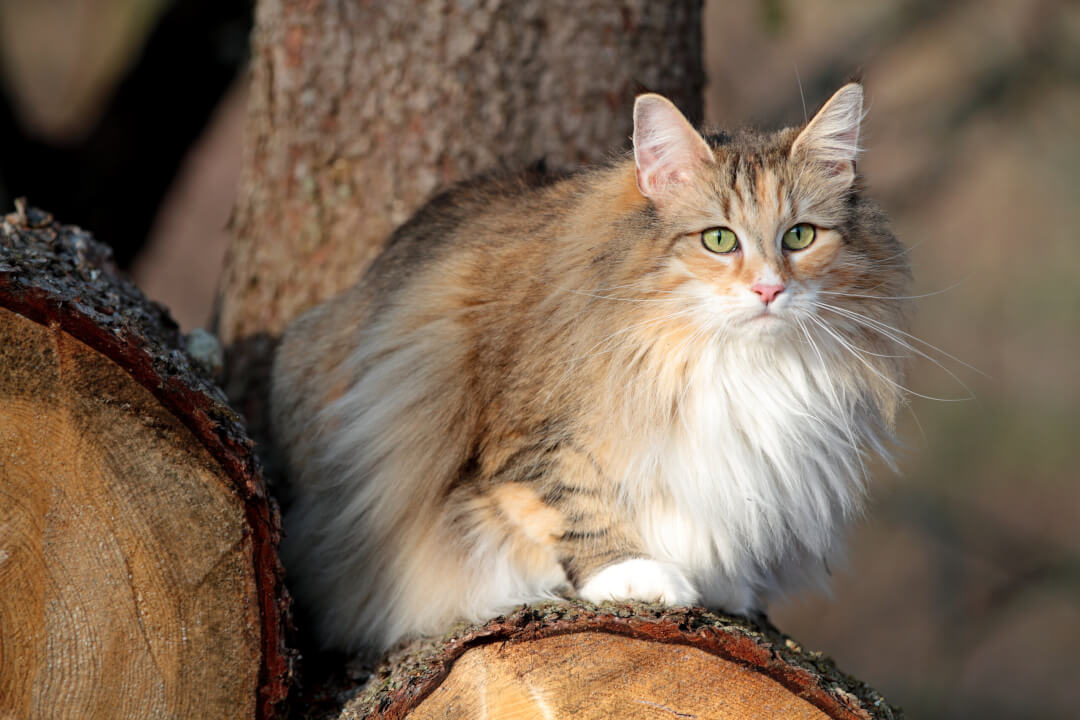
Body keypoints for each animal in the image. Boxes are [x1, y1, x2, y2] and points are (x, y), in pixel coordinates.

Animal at [270, 83, 911, 651]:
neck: (724, 357)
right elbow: (572, 501)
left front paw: (721, 582)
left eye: (799, 236)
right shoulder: (521, 439)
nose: (769, 290)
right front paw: (636, 575)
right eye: (719, 240)